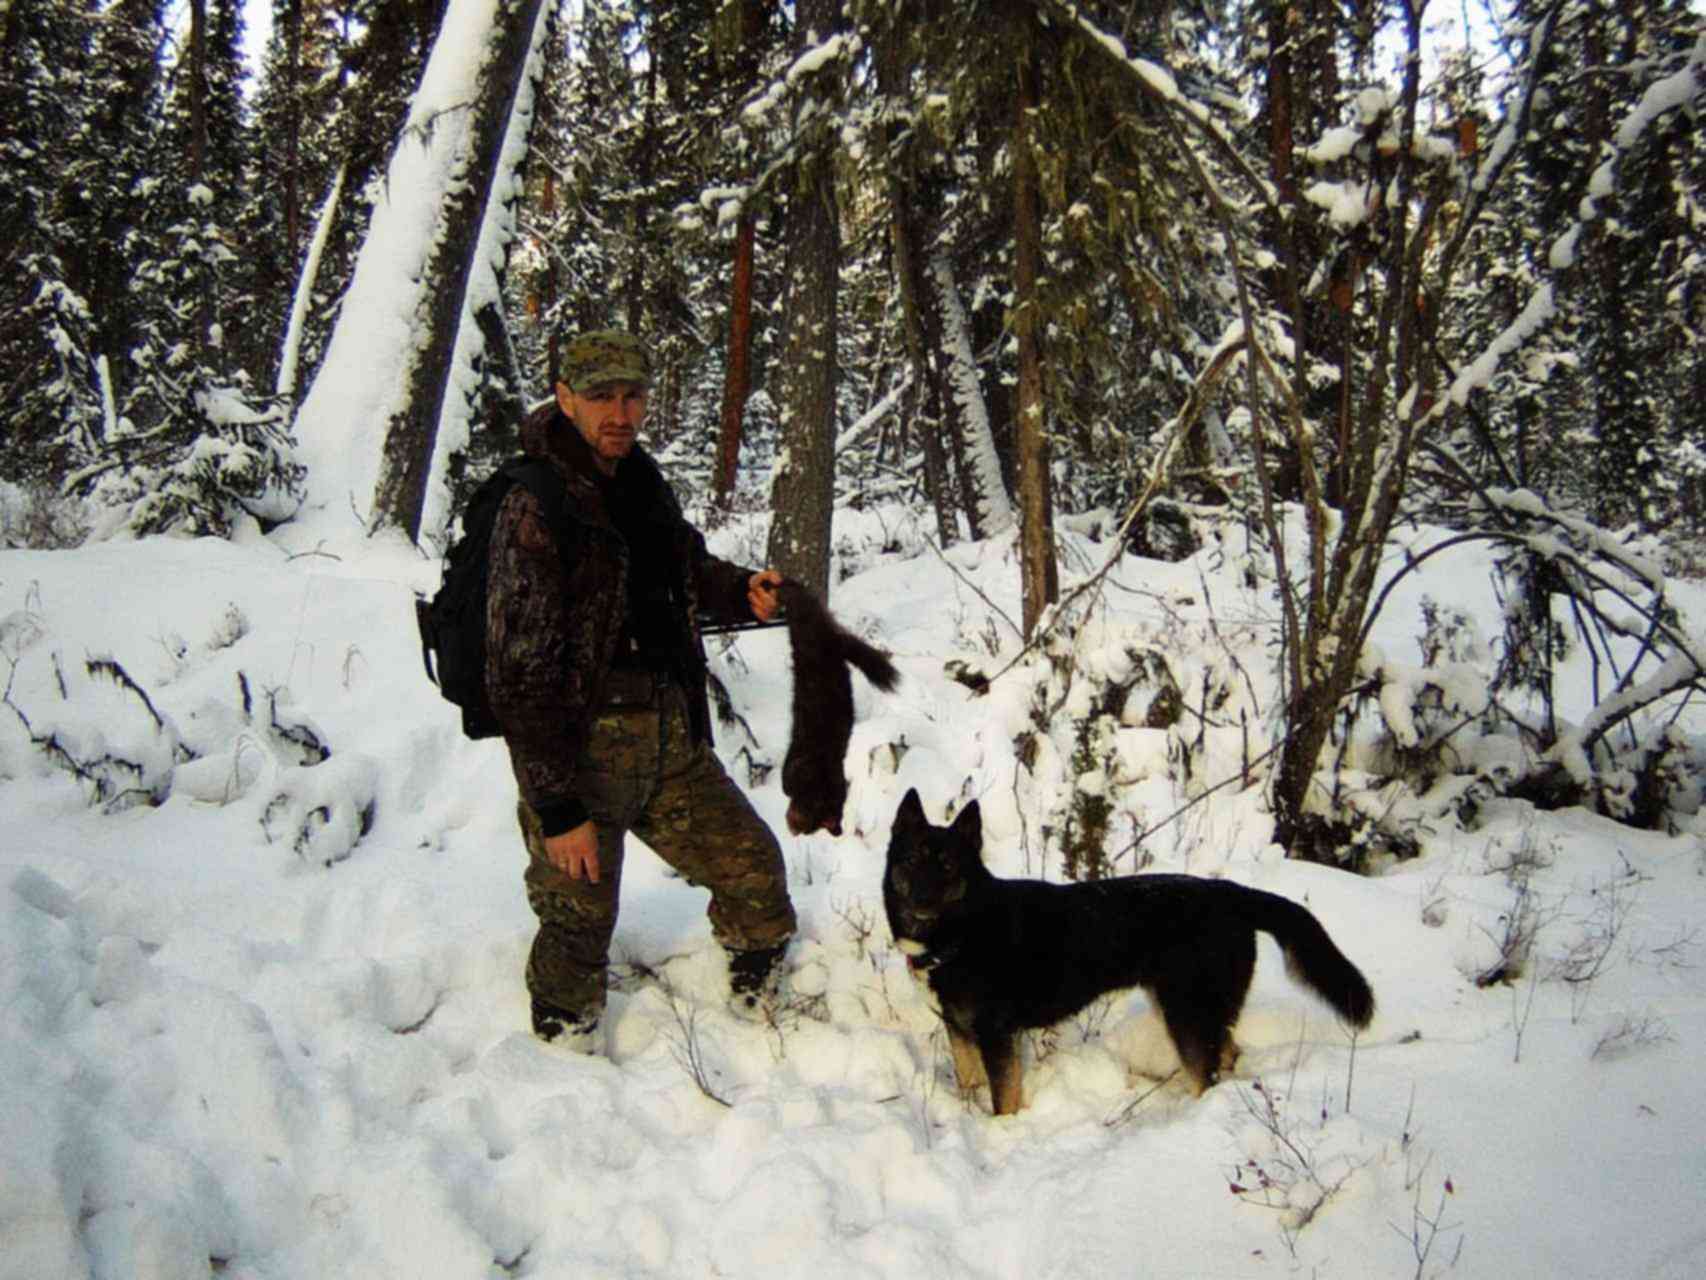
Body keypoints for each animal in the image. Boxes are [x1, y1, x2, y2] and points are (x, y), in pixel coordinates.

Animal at [880, 788, 1371, 1119]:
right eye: (911, 860)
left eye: (947, 866)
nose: (920, 899)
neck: (965, 930)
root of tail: (1233, 893)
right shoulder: (959, 1028)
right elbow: (969, 1081)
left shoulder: (997, 1036)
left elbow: (1005, 1101)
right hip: (1193, 1007)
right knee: (1228, 1052)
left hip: (1187, 1013)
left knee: (1208, 1071)